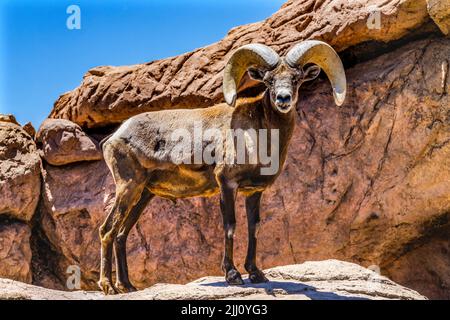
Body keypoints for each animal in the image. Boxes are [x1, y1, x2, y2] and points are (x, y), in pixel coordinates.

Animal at [97, 40, 344, 296]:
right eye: (268, 80)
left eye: (296, 79)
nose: (283, 99)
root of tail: (115, 136)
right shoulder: (227, 184)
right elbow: (230, 226)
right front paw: (233, 275)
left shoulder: (254, 192)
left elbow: (254, 228)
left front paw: (256, 274)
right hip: (128, 187)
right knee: (107, 230)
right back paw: (108, 287)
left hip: (143, 194)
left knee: (121, 234)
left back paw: (127, 286)